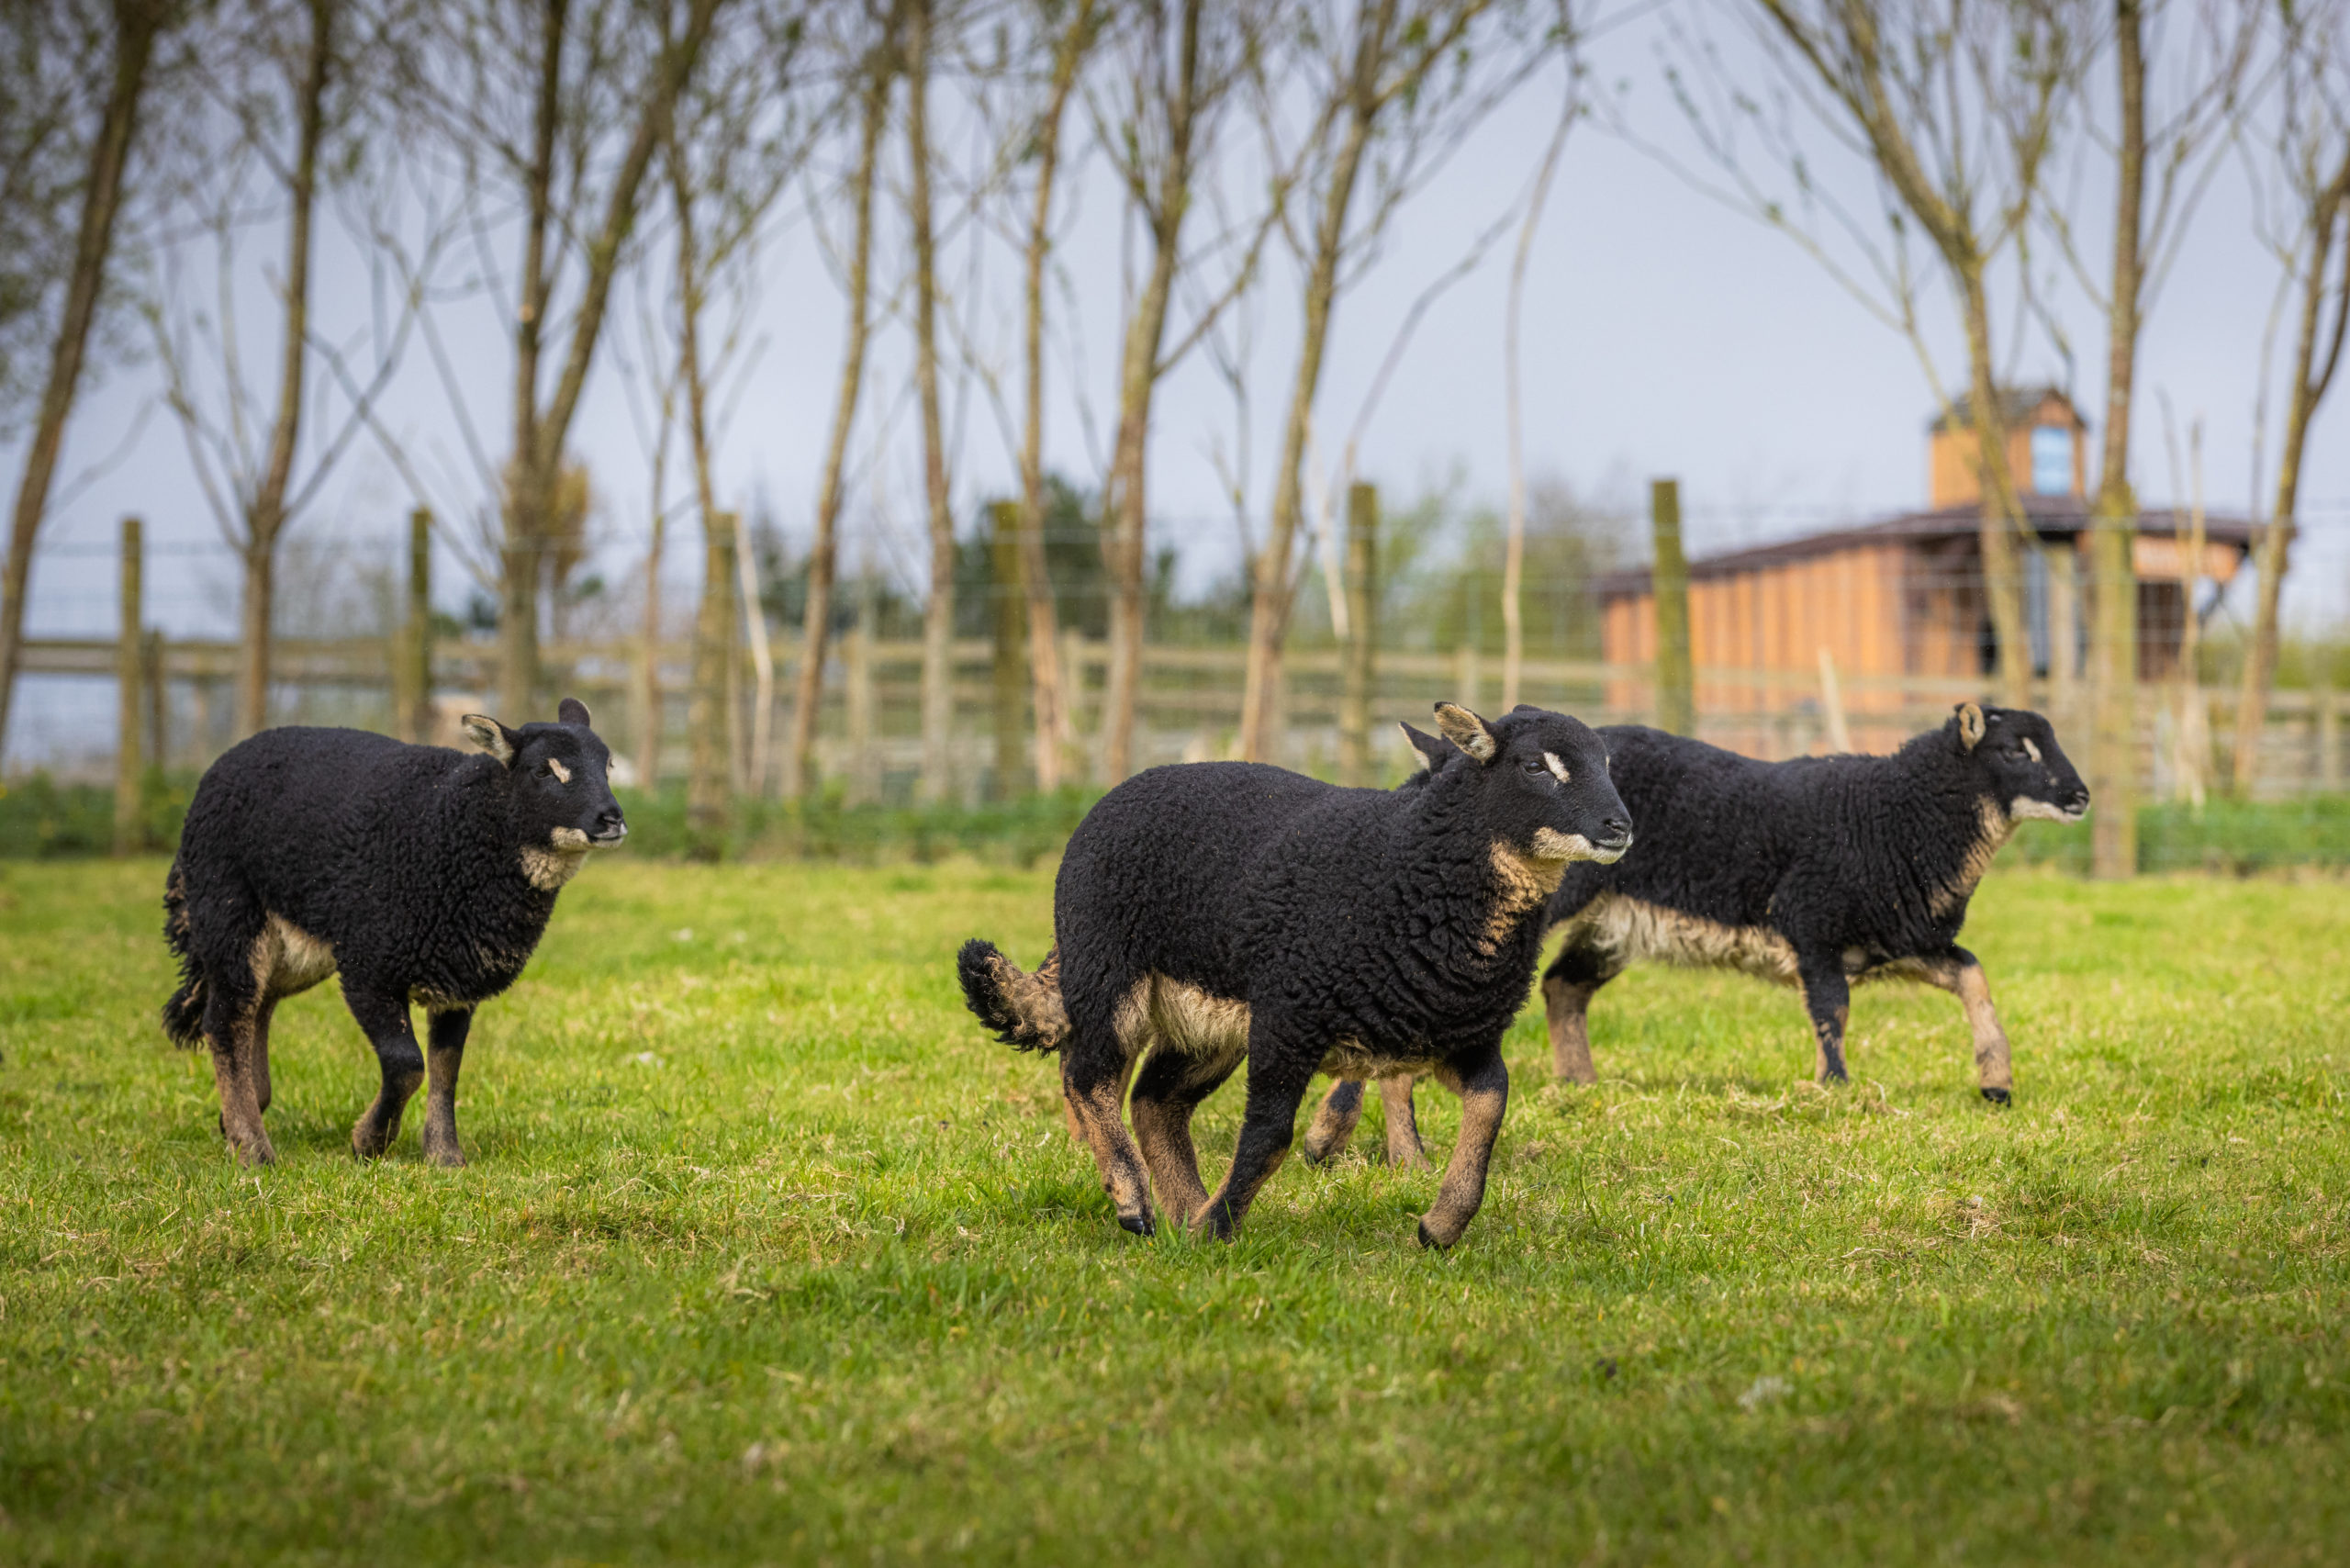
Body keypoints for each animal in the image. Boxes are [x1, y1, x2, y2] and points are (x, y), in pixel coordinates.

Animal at [161, 700, 630, 1166]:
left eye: (607, 766)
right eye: (543, 771)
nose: (612, 819)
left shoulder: (458, 979)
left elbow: (446, 1067)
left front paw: (445, 1156)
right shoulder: (369, 966)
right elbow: (407, 1064)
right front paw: (369, 1142)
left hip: (292, 945)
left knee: (258, 1007)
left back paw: (240, 1116)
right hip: (229, 912)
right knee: (225, 1019)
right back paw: (253, 1148)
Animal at [954, 705, 1635, 1241]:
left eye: (1608, 763)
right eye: (1535, 766)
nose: (1620, 827)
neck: (1407, 867)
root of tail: (1112, 798)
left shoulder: (1454, 1036)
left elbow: (1492, 1104)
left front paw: (1440, 1226)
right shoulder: (1290, 1016)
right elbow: (1269, 1135)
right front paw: (1219, 1228)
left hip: (1206, 1024)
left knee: (1155, 1101)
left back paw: (1181, 1214)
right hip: (1109, 971)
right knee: (1088, 1077)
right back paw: (1135, 1202)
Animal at [1315, 700, 2087, 1151]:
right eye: (2015, 750)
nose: (2080, 796)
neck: (1892, 816)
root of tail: (1444, 761)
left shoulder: (1900, 940)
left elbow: (1973, 974)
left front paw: (1996, 1083)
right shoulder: (1811, 919)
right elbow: (1831, 1011)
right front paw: (1833, 1094)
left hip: (1612, 922)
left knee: (1565, 987)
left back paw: (1580, 1086)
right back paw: (1335, 1131)